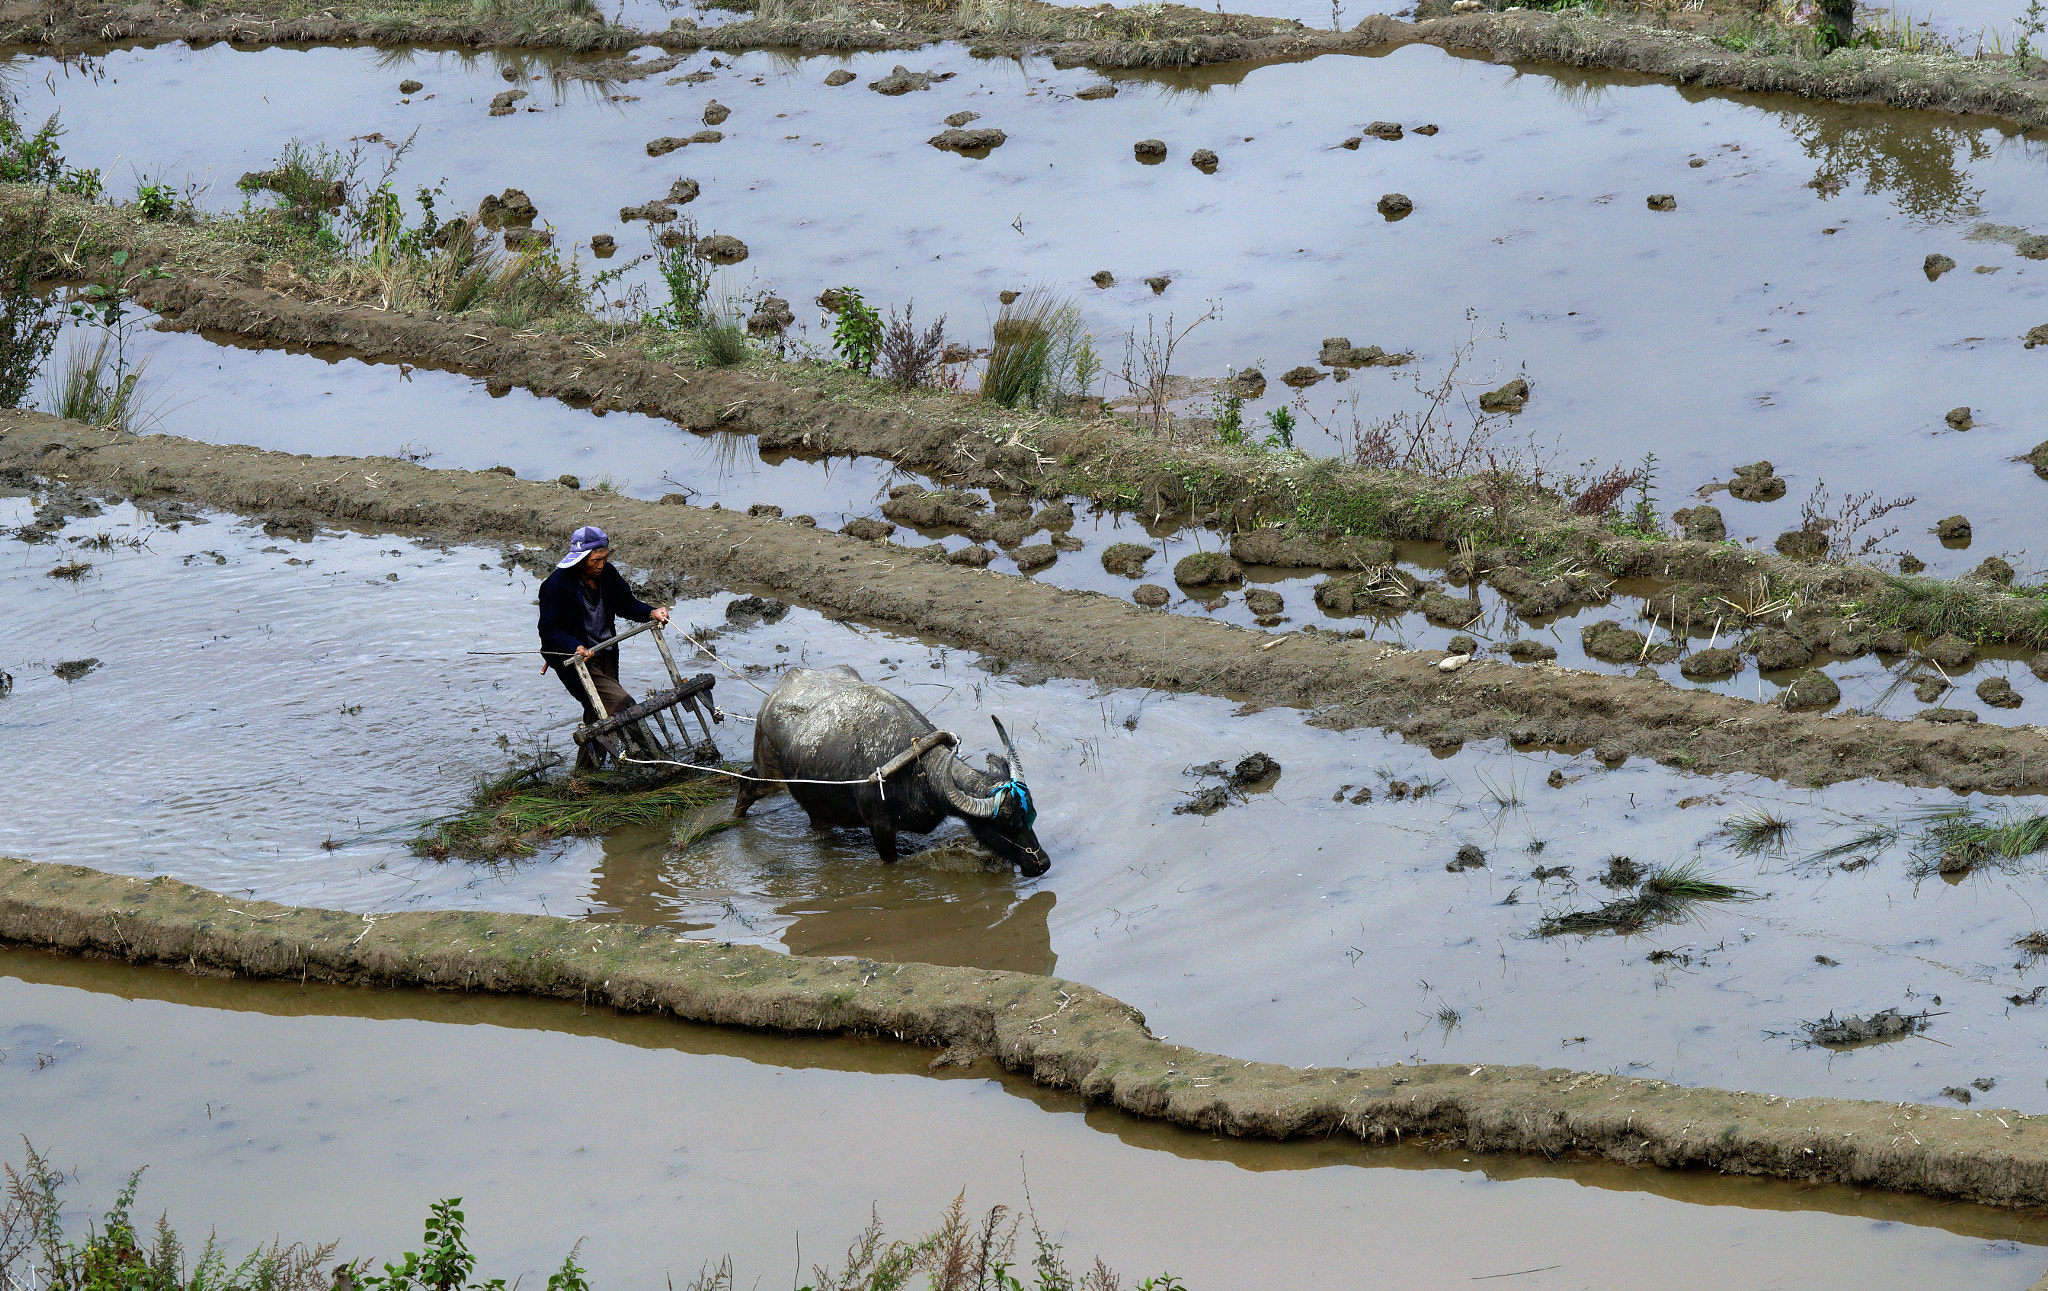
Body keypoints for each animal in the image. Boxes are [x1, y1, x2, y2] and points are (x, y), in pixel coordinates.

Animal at [737, 668, 1056, 881]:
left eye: (1030, 817)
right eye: (1006, 825)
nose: (1042, 864)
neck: (919, 770)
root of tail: (775, 694)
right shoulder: (880, 829)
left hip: (816, 804)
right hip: (770, 775)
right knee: (746, 785)